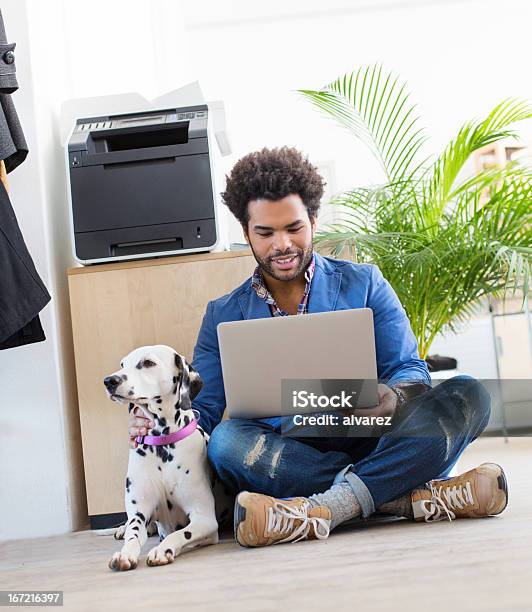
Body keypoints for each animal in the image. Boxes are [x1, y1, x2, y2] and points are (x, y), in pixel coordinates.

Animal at [103, 344, 219, 568]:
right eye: (122, 364)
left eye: (148, 363)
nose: (109, 380)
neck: (162, 446)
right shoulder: (139, 513)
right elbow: (133, 535)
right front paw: (124, 553)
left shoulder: (205, 519)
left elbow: (181, 534)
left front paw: (162, 550)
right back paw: (121, 529)